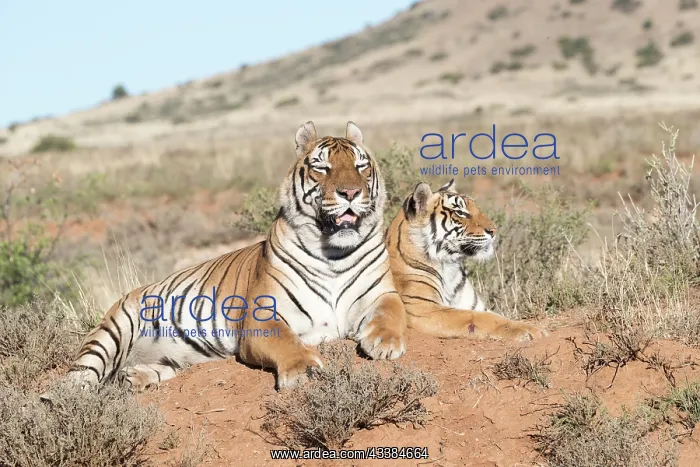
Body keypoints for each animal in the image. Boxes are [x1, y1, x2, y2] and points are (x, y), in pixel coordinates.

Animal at [61, 121, 407, 393]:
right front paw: (304, 370)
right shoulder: (263, 315)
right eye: (322, 167)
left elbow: (390, 313)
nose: (350, 193)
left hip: (171, 357)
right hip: (112, 331)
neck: (334, 252)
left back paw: (135, 377)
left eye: (361, 166)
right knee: (76, 380)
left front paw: (385, 343)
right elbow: (286, 341)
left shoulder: (381, 293)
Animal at [384, 179, 548, 340]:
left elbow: (499, 316)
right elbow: (479, 317)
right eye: (460, 213)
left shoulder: (474, 304)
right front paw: (530, 332)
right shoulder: (423, 310)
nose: (494, 230)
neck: (449, 267)